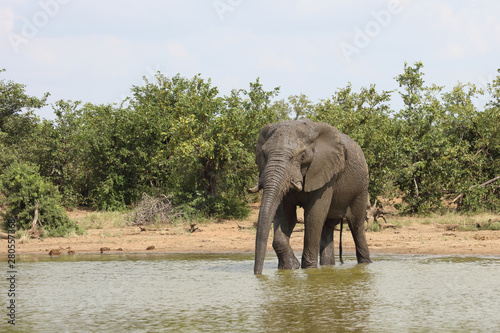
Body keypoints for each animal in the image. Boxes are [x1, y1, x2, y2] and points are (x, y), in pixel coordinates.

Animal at [250, 118, 372, 274]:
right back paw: (327, 267)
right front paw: (290, 267)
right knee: (327, 228)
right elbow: (287, 218)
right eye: (264, 155)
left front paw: (308, 269)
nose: (257, 274)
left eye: (302, 156)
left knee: (356, 226)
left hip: (361, 188)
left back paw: (365, 264)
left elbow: (313, 216)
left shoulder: (325, 170)